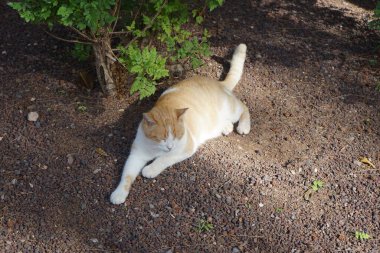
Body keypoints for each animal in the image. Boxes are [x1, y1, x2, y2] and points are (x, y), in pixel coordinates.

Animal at [110, 43, 249, 205]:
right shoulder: (136, 155)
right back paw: (226, 128)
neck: (155, 149)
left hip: (232, 110)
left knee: (244, 108)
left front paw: (150, 169)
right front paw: (119, 193)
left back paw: (244, 126)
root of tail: (217, 83)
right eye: (162, 138)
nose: (169, 146)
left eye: (176, 136)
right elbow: (126, 176)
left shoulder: (185, 148)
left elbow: (163, 159)